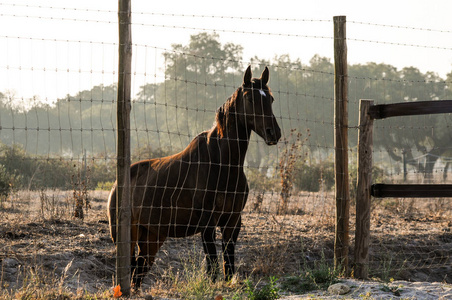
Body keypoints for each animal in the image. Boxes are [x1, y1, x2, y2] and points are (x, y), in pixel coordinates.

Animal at [107, 66, 280, 288]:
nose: (273, 133)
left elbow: (228, 266)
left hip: (152, 236)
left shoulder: (233, 221)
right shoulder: (207, 224)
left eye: (271, 99)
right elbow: (213, 267)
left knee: (138, 271)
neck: (222, 164)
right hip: (126, 234)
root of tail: (116, 185)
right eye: (250, 98)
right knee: (129, 269)